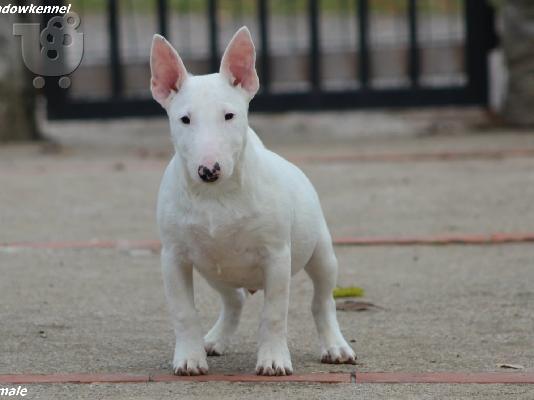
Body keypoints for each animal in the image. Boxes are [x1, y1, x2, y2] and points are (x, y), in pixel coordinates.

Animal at [151, 26, 358, 376]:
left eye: (229, 115)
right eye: (184, 119)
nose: (208, 170)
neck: (216, 196)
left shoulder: (276, 256)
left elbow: (274, 314)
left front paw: (273, 360)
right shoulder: (174, 258)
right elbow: (183, 312)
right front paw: (189, 359)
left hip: (321, 252)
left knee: (322, 300)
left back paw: (335, 347)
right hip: (213, 270)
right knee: (234, 299)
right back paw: (214, 340)